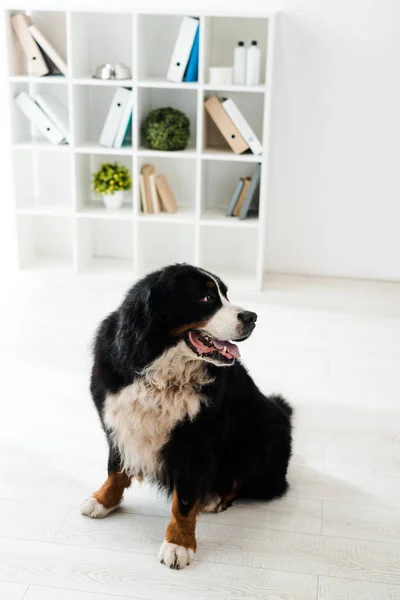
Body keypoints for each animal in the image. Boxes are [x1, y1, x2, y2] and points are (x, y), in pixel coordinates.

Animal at [82, 264, 294, 568]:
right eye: (206, 298)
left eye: (225, 294)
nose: (252, 317)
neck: (160, 370)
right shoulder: (118, 422)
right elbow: (115, 468)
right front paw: (102, 500)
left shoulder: (194, 443)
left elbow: (183, 500)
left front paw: (179, 544)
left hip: (262, 435)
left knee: (248, 482)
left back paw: (214, 498)